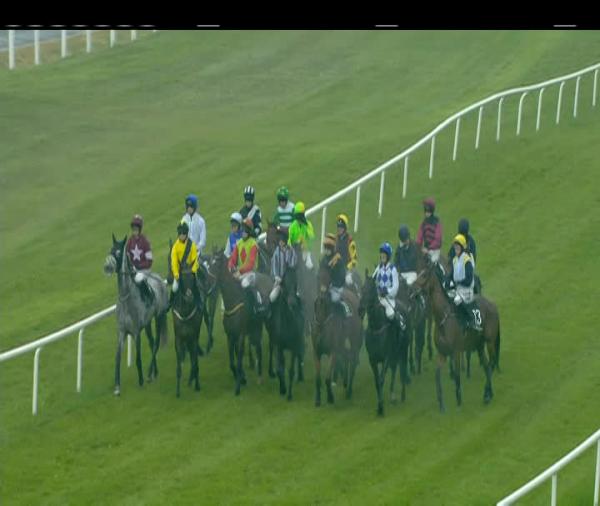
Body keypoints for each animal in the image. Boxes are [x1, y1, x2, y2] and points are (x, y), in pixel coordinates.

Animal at [103, 234, 169, 396]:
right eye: (111, 250)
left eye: (118, 252)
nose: (107, 267)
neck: (126, 299)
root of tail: (159, 280)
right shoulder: (121, 332)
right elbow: (117, 357)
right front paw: (117, 386)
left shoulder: (136, 331)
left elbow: (138, 357)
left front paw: (140, 380)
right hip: (148, 323)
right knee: (152, 342)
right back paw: (154, 372)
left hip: (159, 316)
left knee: (156, 343)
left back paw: (149, 373)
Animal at [270, 262, 305, 400]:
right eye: (284, 283)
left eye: (296, 283)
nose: (293, 303)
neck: (287, 322)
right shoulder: (280, 346)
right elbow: (281, 368)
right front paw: (282, 389)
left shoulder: (294, 345)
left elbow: (290, 370)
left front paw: (289, 394)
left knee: (300, 354)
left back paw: (301, 376)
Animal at [312, 261, 363, 406]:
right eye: (318, 276)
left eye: (329, 277)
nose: (322, 296)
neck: (323, 321)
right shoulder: (316, 351)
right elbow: (318, 378)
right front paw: (318, 399)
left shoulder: (332, 351)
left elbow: (327, 378)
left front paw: (330, 397)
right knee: (346, 356)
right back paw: (345, 382)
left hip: (354, 339)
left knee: (353, 359)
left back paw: (349, 390)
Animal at [359, 270, 409, 416]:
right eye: (362, 288)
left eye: (371, 290)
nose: (360, 309)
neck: (377, 327)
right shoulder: (373, 359)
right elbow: (377, 381)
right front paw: (379, 405)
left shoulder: (386, 356)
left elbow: (381, 379)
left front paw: (381, 407)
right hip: (395, 353)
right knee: (395, 369)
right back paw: (393, 395)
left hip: (403, 349)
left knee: (401, 369)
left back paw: (402, 395)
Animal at [414, 252, 501, 412]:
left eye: (424, 276)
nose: (411, 291)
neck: (443, 317)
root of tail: (493, 305)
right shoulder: (443, 353)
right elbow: (437, 375)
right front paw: (441, 403)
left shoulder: (456, 351)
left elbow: (457, 375)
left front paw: (459, 399)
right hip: (479, 344)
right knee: (487, 365)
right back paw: (488, 393)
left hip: (490, 341)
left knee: (491, 363)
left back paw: (487, 393)